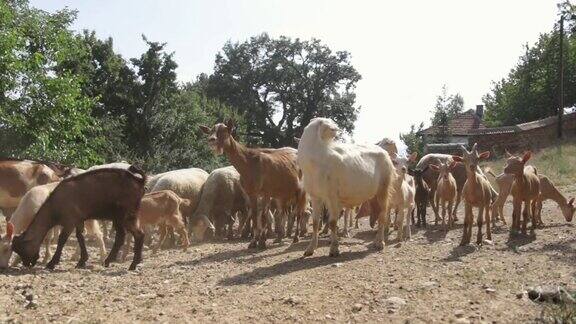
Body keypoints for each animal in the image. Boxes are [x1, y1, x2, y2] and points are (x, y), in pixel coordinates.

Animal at [10, 166, 146, 270]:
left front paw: (52, 263)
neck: (55, 204)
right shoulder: (78, 220)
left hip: (127, 215)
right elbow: (80, 237)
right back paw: (108, 260)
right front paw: (82, 260)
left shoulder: (69, 221)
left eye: (21, 249)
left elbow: (62, 240)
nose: (27, 264)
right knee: (120, 237)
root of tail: (139, 181)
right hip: (118, 217)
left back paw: (133, 264)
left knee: (139, 234)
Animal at [200, 120, 308, 249]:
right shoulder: (251, 193)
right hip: (283, 194)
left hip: (300, 190)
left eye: (224, 131)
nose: (211, 139)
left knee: (298, 212)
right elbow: (255, 214)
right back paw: (280, 237)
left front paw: (261, 241)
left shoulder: (265, 192)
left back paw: (296, 237)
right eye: (211, 131)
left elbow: (264, 215)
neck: (249, 162)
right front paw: (254, 241)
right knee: (284, 213)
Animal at [296, 116, 396, 256]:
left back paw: (380, 243)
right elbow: (315, 223)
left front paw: (334, 248)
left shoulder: (332, 196)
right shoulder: (316, 197)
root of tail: (385, 152)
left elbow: (332, 222)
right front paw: (310, 249)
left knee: (383, 214)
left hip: (384, 189)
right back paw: (377, 240)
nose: (337, 130)